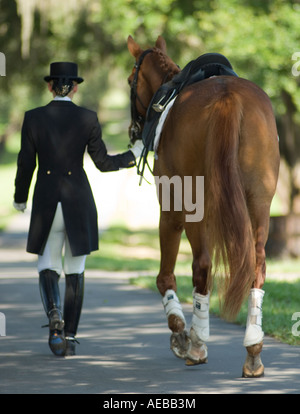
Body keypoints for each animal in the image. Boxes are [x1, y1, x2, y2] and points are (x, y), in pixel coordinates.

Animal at [126, 36, 278, 378]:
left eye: (130, 81)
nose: (133, 129)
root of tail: (228, 97)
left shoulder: (171, 211)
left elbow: (165, 277)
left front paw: (180, 331)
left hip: (195, 206)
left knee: (203, 267)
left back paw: (197, 343)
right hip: (259, 202)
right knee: (257, 266)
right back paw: (253, 350)